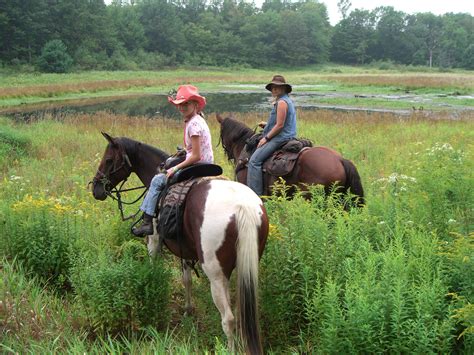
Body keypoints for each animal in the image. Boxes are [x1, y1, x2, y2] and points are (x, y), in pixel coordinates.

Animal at [91, 132, 268, 354]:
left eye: (108, 160)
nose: (96, 189)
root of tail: (243, 207)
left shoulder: (154, 241)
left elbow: (154, 264)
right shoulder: (186, 249)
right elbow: (187, 279)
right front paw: (188, 309)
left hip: (216, 275)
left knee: (228, 319)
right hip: (247, 266)